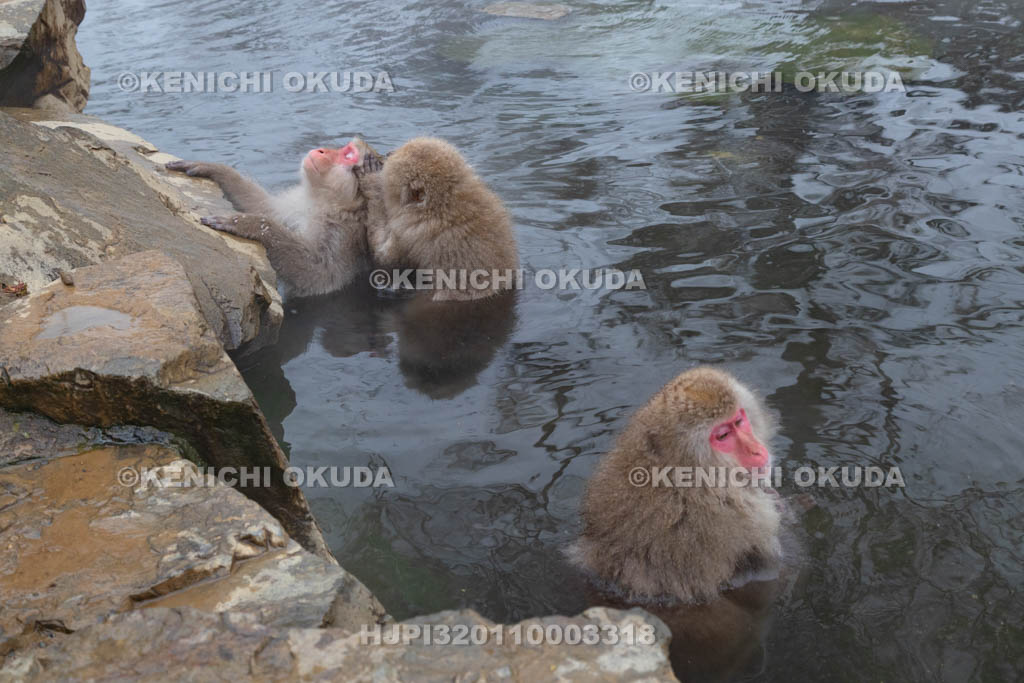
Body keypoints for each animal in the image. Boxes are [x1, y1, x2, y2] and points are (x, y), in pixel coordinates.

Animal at [166, 139, 384, 298]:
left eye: (347, 155)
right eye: (343, 148)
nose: (321, 150)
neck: (324, 200)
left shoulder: (342, 234)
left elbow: (321, 276)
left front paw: (249, 225)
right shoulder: (295, 204)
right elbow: (263, 207)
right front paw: (214, 168)